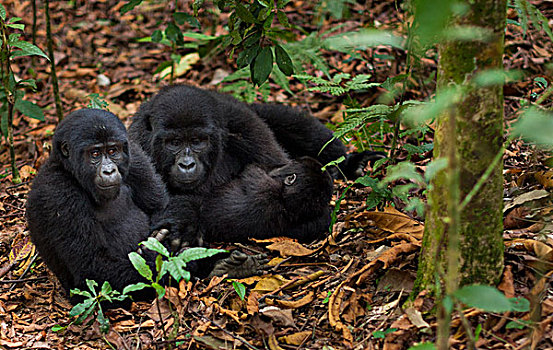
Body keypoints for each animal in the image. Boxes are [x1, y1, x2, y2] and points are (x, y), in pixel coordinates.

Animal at [26, 109, 266, 306]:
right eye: (94, 154)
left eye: (113, 151)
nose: (109, 170)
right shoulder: (57, 194)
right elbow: (92, 265)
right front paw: (186, 261)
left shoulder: (135, 156)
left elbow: (163, 205)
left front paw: (183, 229)